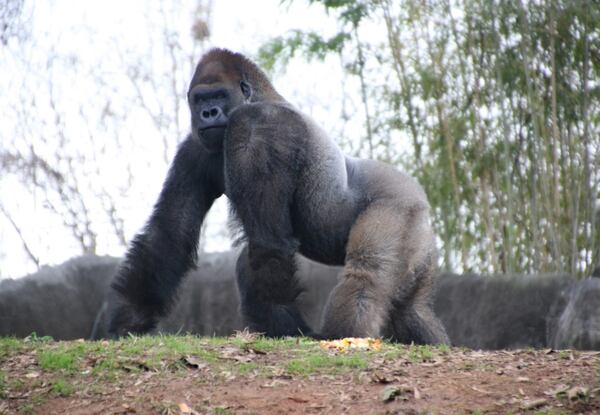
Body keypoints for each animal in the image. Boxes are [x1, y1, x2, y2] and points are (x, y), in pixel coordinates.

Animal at [108, 48, 448, 344]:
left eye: (219, 95)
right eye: (200, 98)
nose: (208, 112)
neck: (259, 95)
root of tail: (421, 198)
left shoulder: (259, 126)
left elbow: (268, 243)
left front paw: (288, 329)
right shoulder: (194, 149)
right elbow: (169, 235)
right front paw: (126, 320)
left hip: (400, 206)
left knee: (367, 275)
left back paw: (343, 336)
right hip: (420, 237)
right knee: (410, 307)